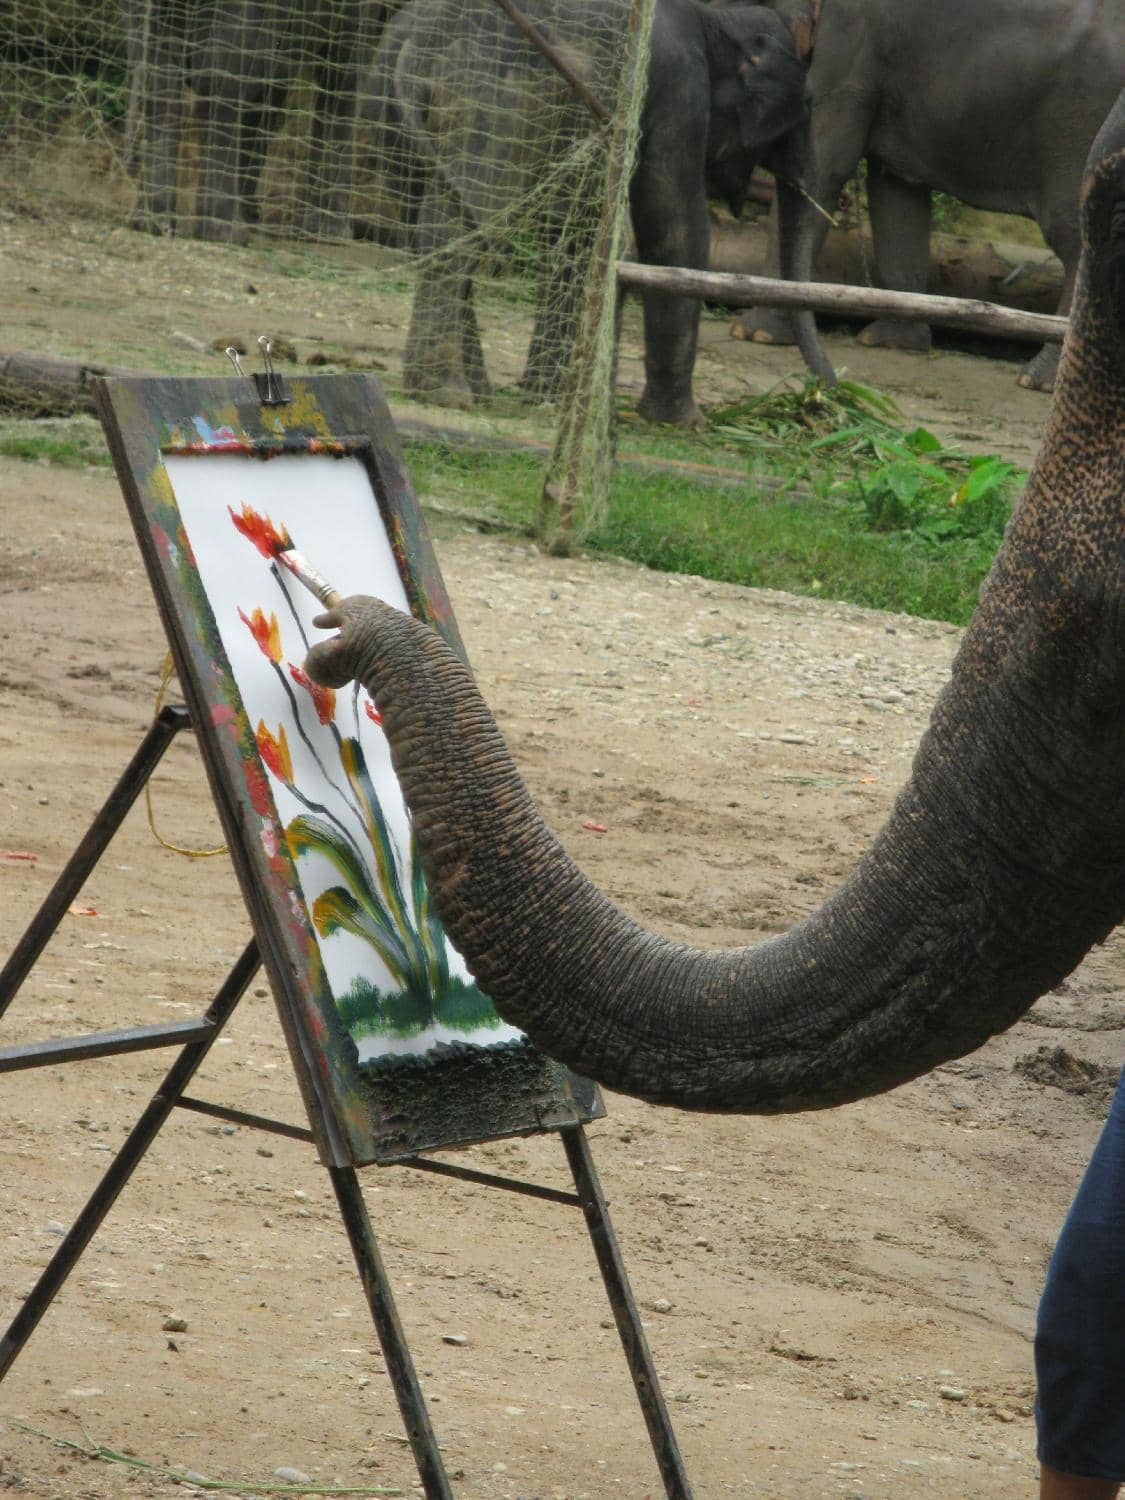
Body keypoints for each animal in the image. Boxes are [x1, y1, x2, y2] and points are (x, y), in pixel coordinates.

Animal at [124, 0, 385, 241]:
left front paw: (253, 214)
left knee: (158, 69)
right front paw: (329, 232)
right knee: (225, 78)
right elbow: (346, 77)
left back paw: (151, 221)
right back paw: (225, 231)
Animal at [368, 0, 831, 425]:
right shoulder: (677, 86)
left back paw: (472, 392)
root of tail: (419, 35)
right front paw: (681, 423)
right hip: (491, 106)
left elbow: (576, 233)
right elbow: (674, 228)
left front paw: (548, 397)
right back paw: (446, 393)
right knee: (464, 234)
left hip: (396, 114)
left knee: (435, 228)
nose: (826, 390)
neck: (716, 17)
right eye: (806, 105)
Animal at [744, 0, 1125, 392]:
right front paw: (890, 340)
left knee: (1078, 238)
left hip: (1081, 123)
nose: (831, 382)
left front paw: (756, 333)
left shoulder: (848, 49)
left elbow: (825, 166)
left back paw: (1039, 379)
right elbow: (896, 193)